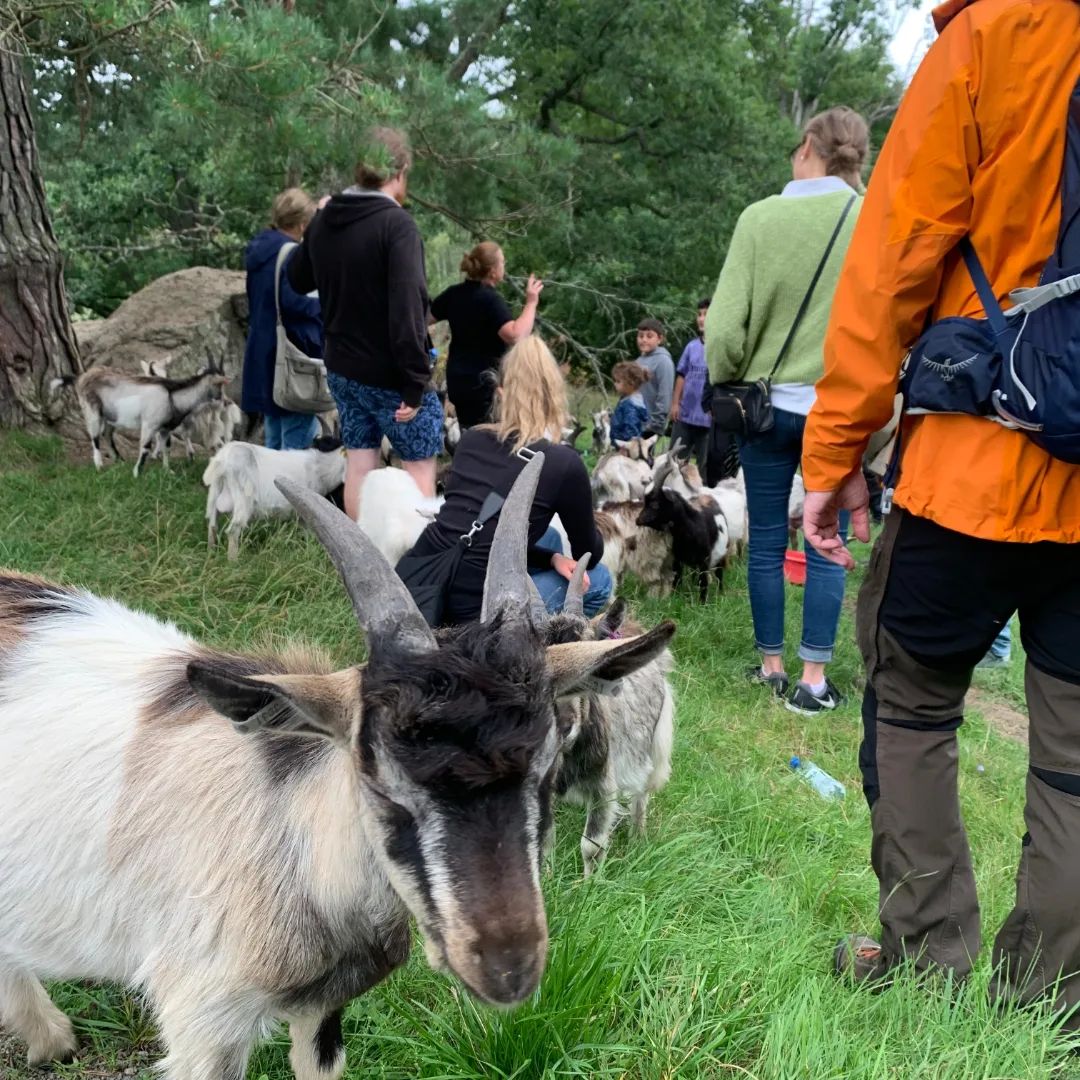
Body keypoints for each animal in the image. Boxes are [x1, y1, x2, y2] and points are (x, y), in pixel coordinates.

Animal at [63, 367, 230, 477]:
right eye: (220, 386)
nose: (225, 401)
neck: (172, 395)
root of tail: (83, 377)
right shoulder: (149, 425)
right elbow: (145, 448)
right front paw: (137, 473)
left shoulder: (164, 428)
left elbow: (167, 448)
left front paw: (167, 470)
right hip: (92, 411)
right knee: (95, 436)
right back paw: (99, 466)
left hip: (110, 417)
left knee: (107, 435)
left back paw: (119, 461)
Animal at [205, 436, 345, 557]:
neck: (320, 468)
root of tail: (222, 461)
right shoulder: (307, 510)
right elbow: (308, 534)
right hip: (243, 498)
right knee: (233, 530)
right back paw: (233, 561)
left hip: (215, 492)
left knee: (212, 526)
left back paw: (211, 555)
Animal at [544, 565, 669, 876]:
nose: (564, 726)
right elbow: (545, 838)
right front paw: (548, 876)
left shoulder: (603, 786)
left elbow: (592, 844)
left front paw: (592, 882)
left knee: (641, 795)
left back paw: (638, 837)